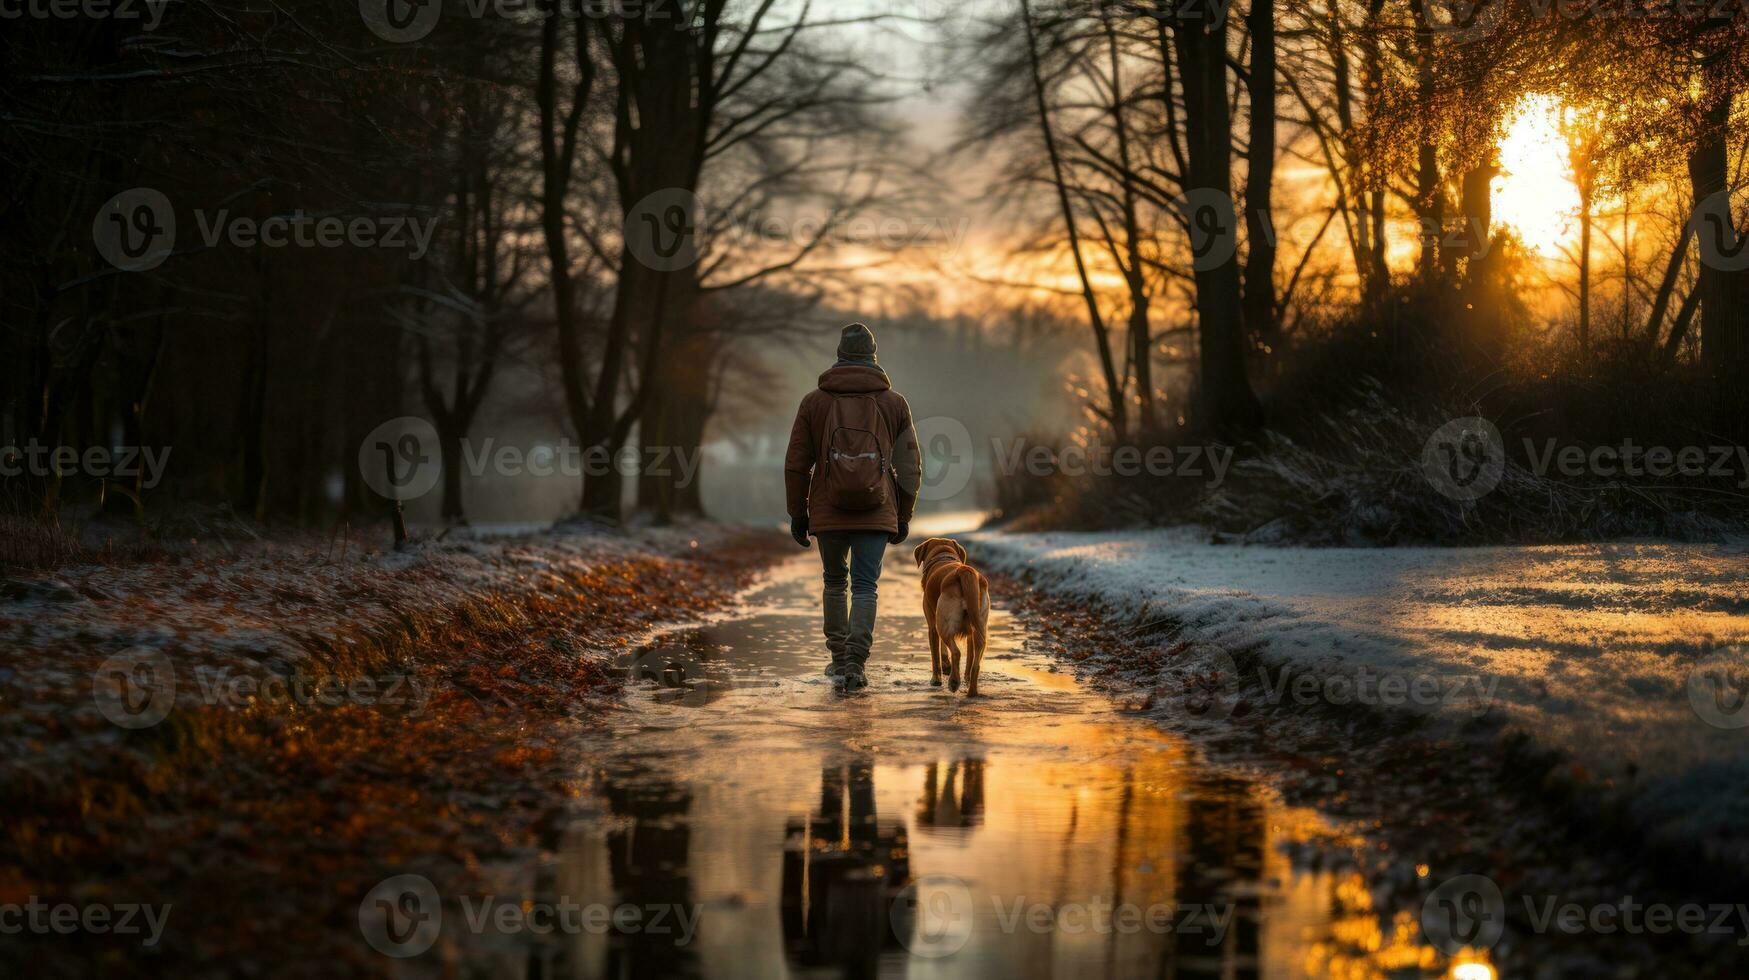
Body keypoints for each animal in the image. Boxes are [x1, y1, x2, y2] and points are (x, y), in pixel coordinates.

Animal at [916, 535, 986, 696]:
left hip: (942, 623)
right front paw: (948, 667)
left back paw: (953, 682)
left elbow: (935, 656)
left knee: (956, 652)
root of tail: (964, 571)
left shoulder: (933, 625)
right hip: (978, 625)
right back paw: (972, 691)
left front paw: (936, 679)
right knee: (976, 662)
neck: (942, 555)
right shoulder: (967, 631)